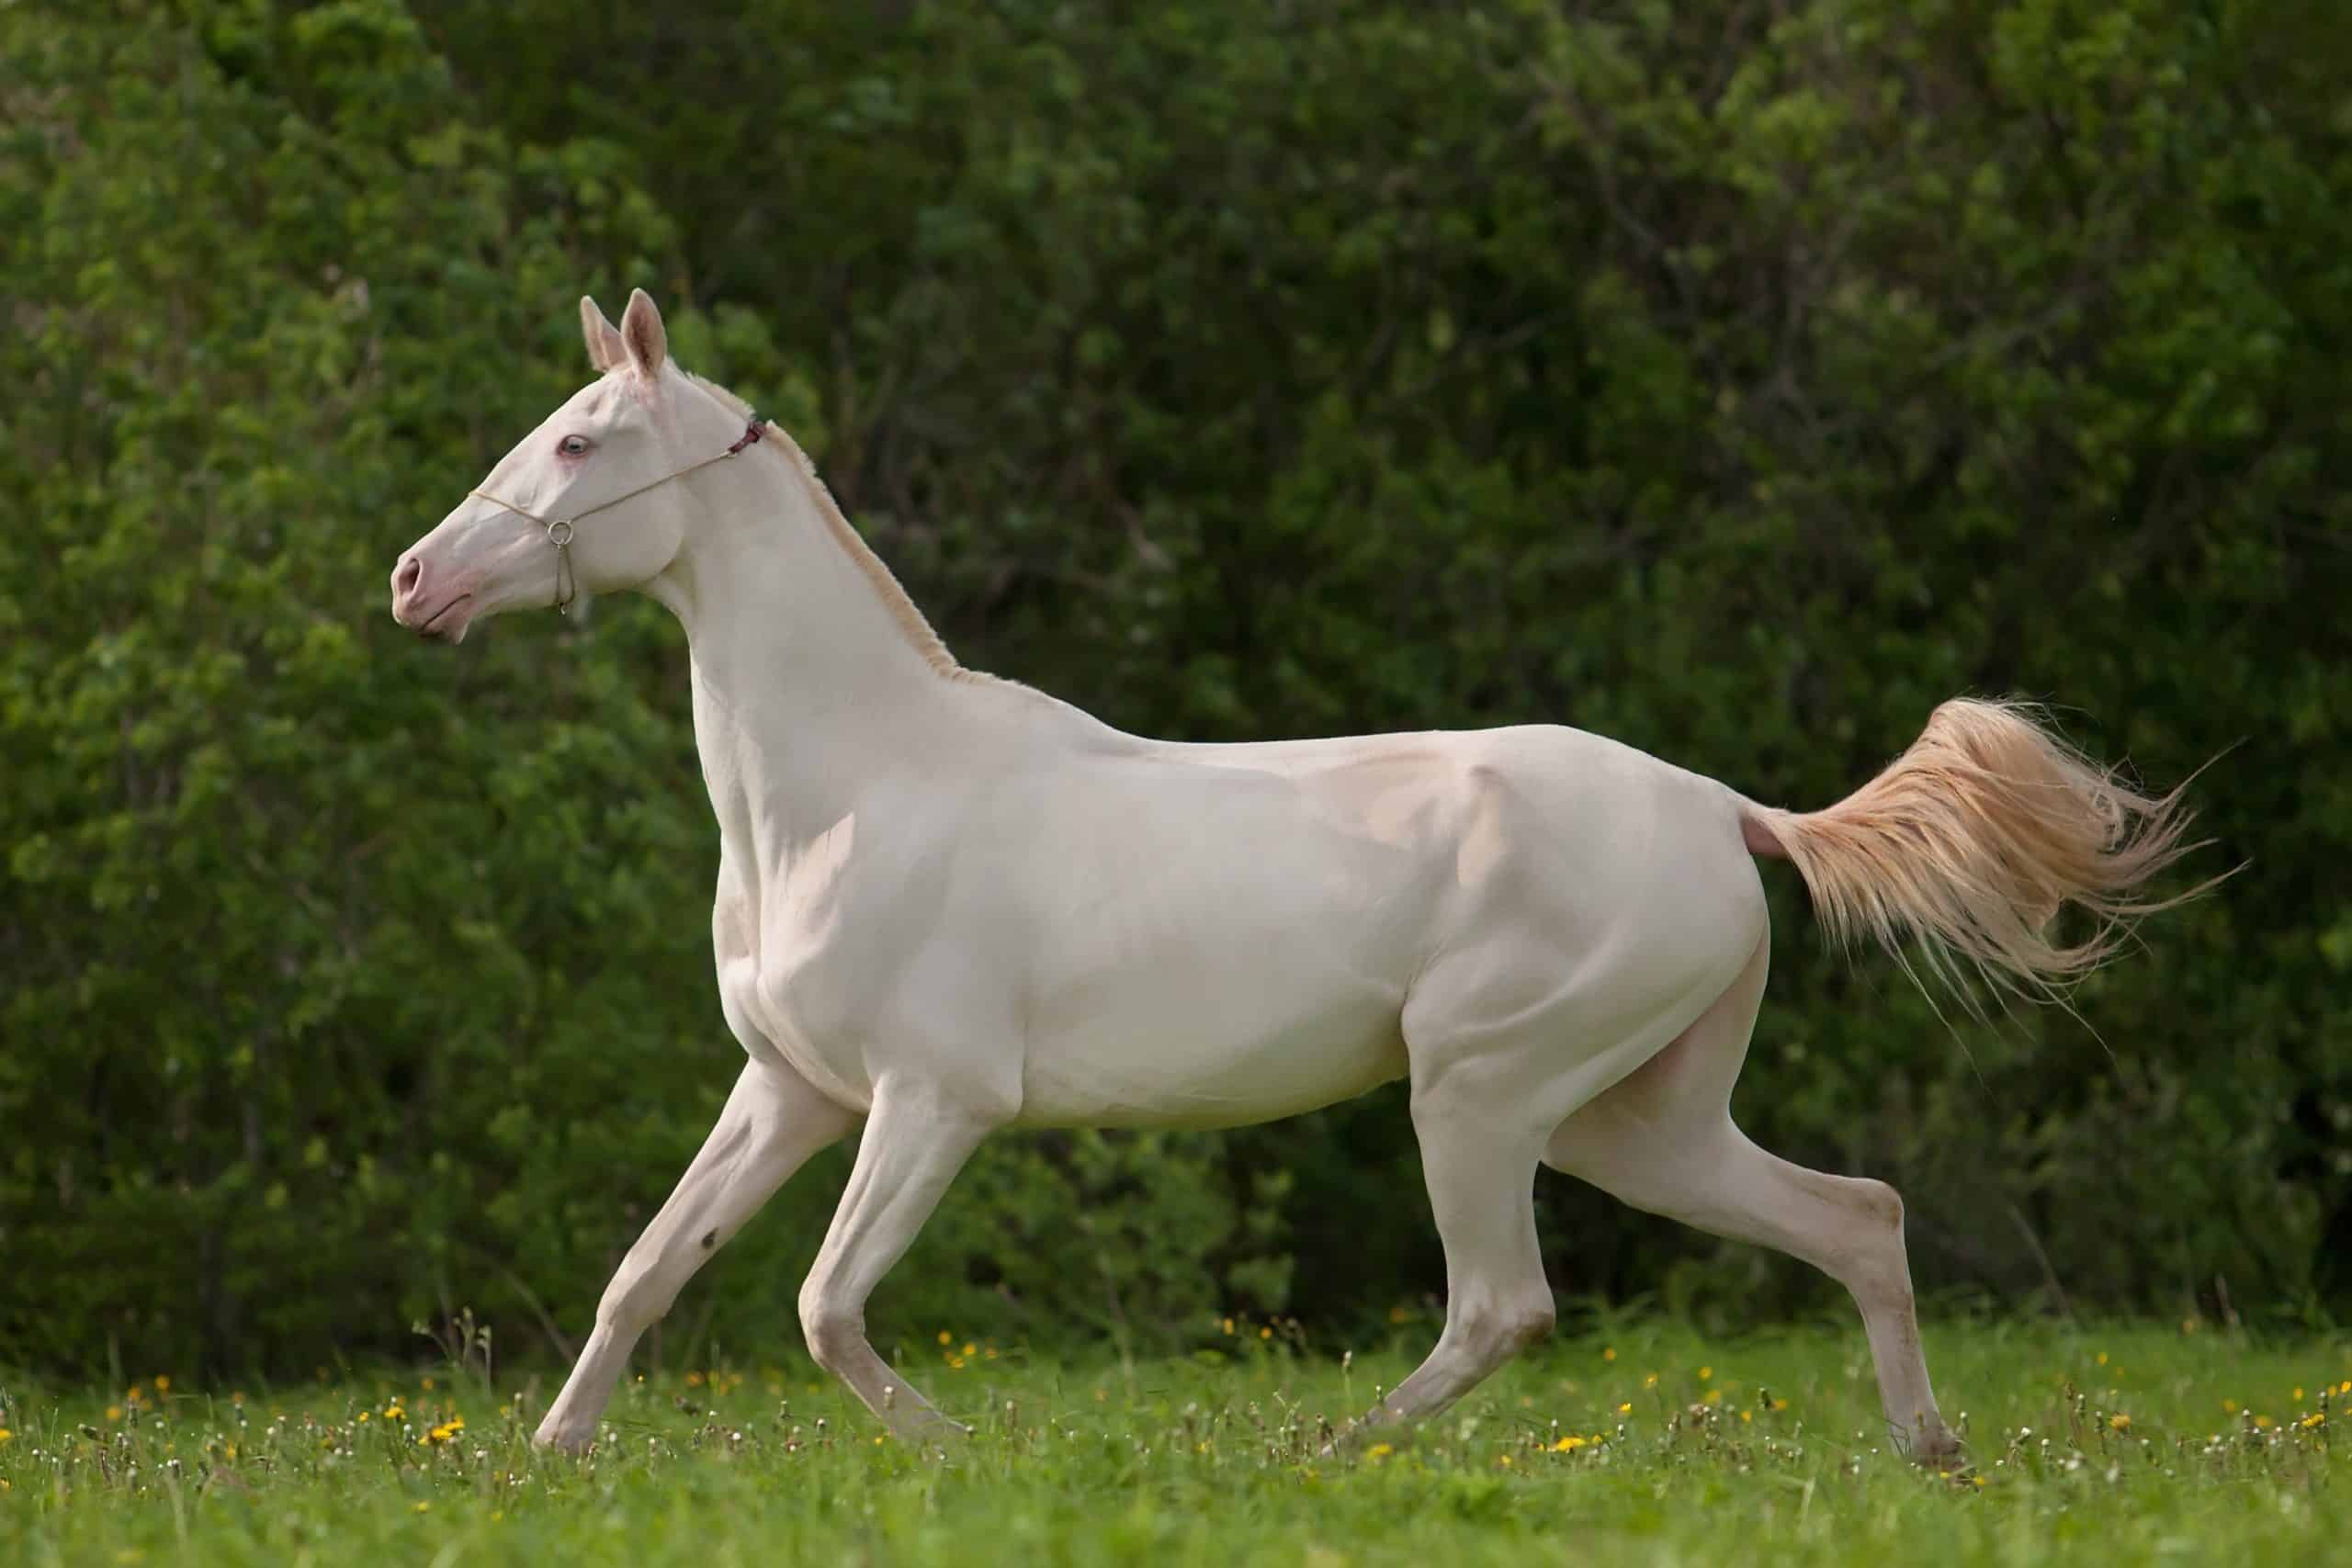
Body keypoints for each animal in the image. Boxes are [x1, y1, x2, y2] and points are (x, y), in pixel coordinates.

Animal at [390, 291, 2201, 1457]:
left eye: (578, 441)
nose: (414, 580)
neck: (845, 793)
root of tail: (1728, 811)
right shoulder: (791, 1087)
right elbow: (646, 1271)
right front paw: (548, 1458)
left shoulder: (932, 1100)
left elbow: (830, 1307)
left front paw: (966, 1457)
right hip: (1636, 1119)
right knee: (1856, 1218)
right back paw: (1930, 1452)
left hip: (1479, 1089)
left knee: (1505, 1307)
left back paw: (1328, 1454)